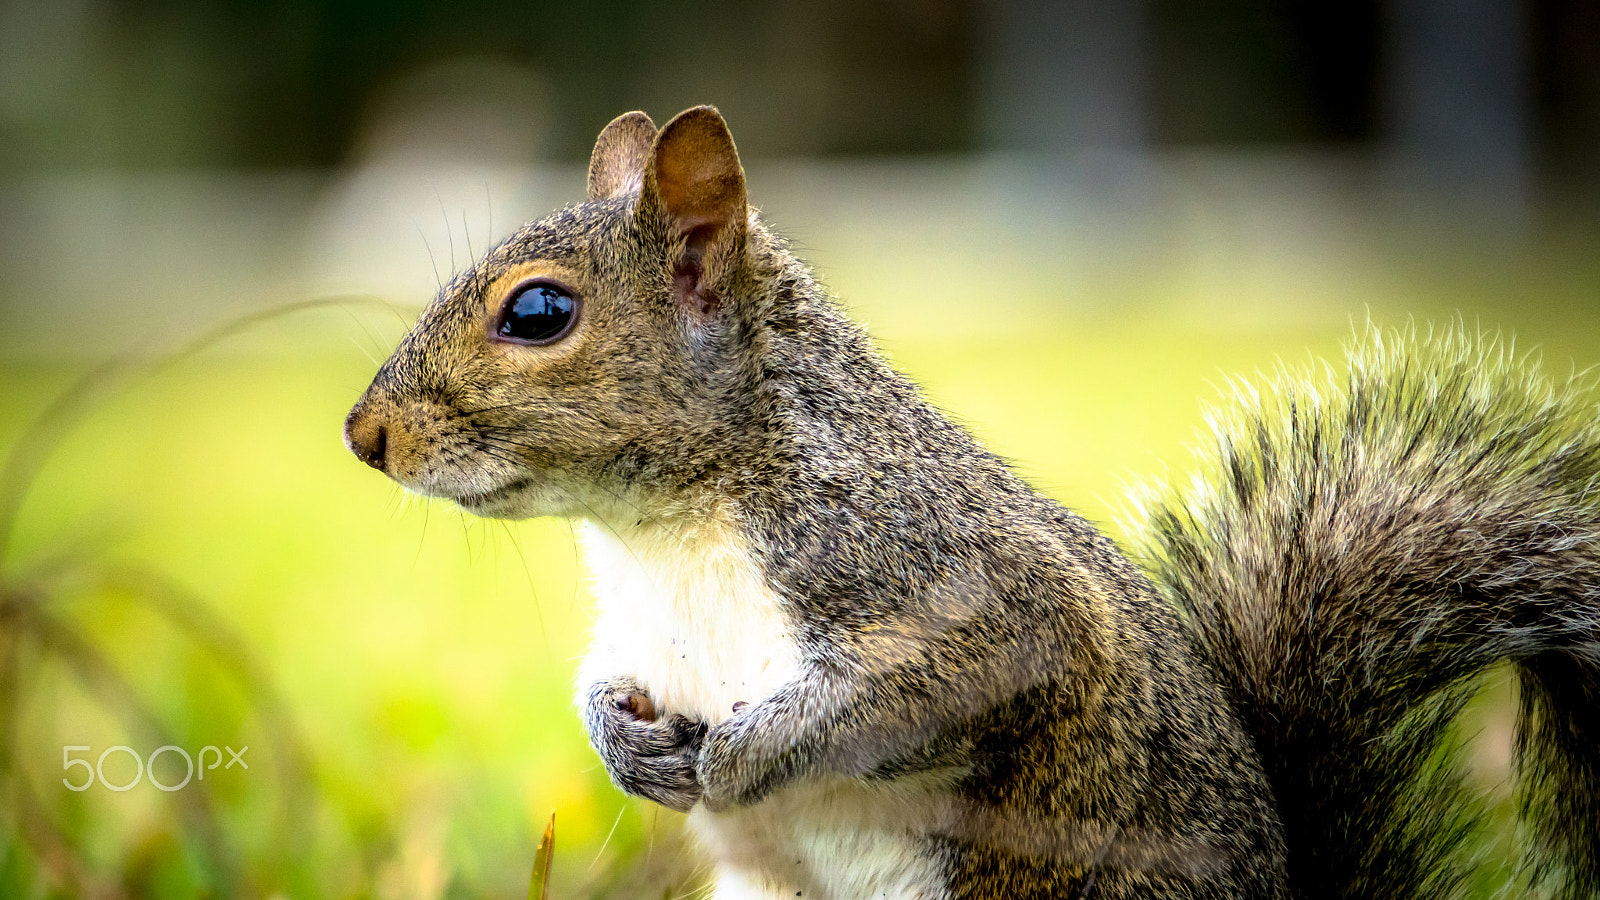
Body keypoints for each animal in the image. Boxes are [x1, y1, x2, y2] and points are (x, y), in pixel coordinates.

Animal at [342, 106, 1600, 900]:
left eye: (538, 313)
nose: (363, 436)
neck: (667, 533)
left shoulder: (955, 584)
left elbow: (933, 682)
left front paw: (743, 761)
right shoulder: (642, 632)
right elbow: (607, 679)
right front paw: (620, 742)